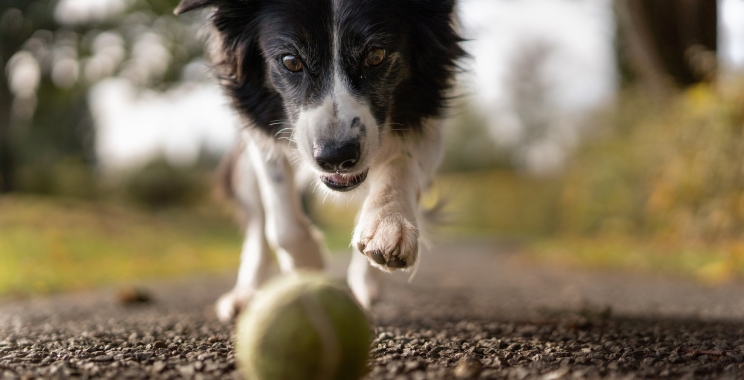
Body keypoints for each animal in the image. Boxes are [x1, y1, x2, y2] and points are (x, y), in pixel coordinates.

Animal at [175, 0, 464, 320]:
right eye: (291, 61)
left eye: (376, 55)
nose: (336, 156)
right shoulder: (258, 127)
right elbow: (281, 220)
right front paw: (308, 266)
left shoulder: (429, 107)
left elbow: (401, 163)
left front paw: (389, 225)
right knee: (257, 224)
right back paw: (244, 295)